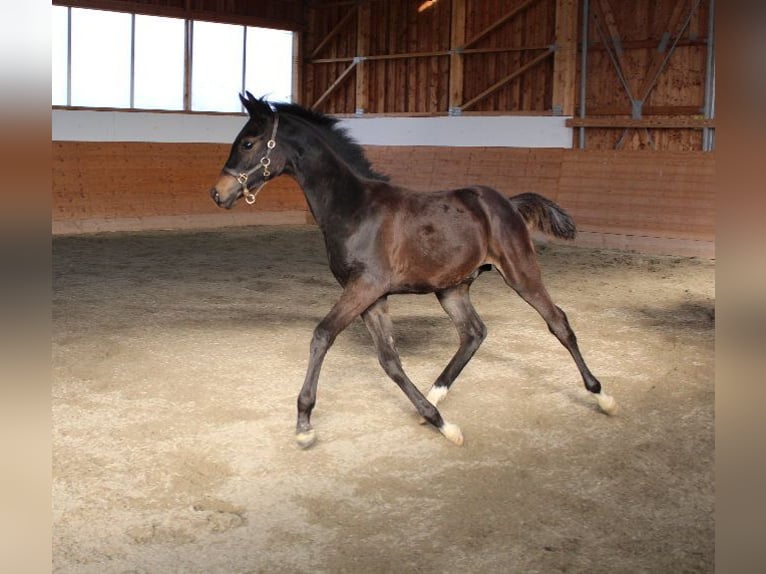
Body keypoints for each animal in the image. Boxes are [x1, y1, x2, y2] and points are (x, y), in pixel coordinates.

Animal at [209, 92, 617, 449]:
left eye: (248, 143)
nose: (218, 193)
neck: (354, 208)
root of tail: (508, 203)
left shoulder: (364, 287)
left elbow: (323, 335)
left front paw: (305, 425)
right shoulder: (372, 297)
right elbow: (389, 360)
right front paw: (439, 422)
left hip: (520, 272)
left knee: (558, 322)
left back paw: (602, 396)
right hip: (451, 288)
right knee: (474, 332)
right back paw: (435, 397)